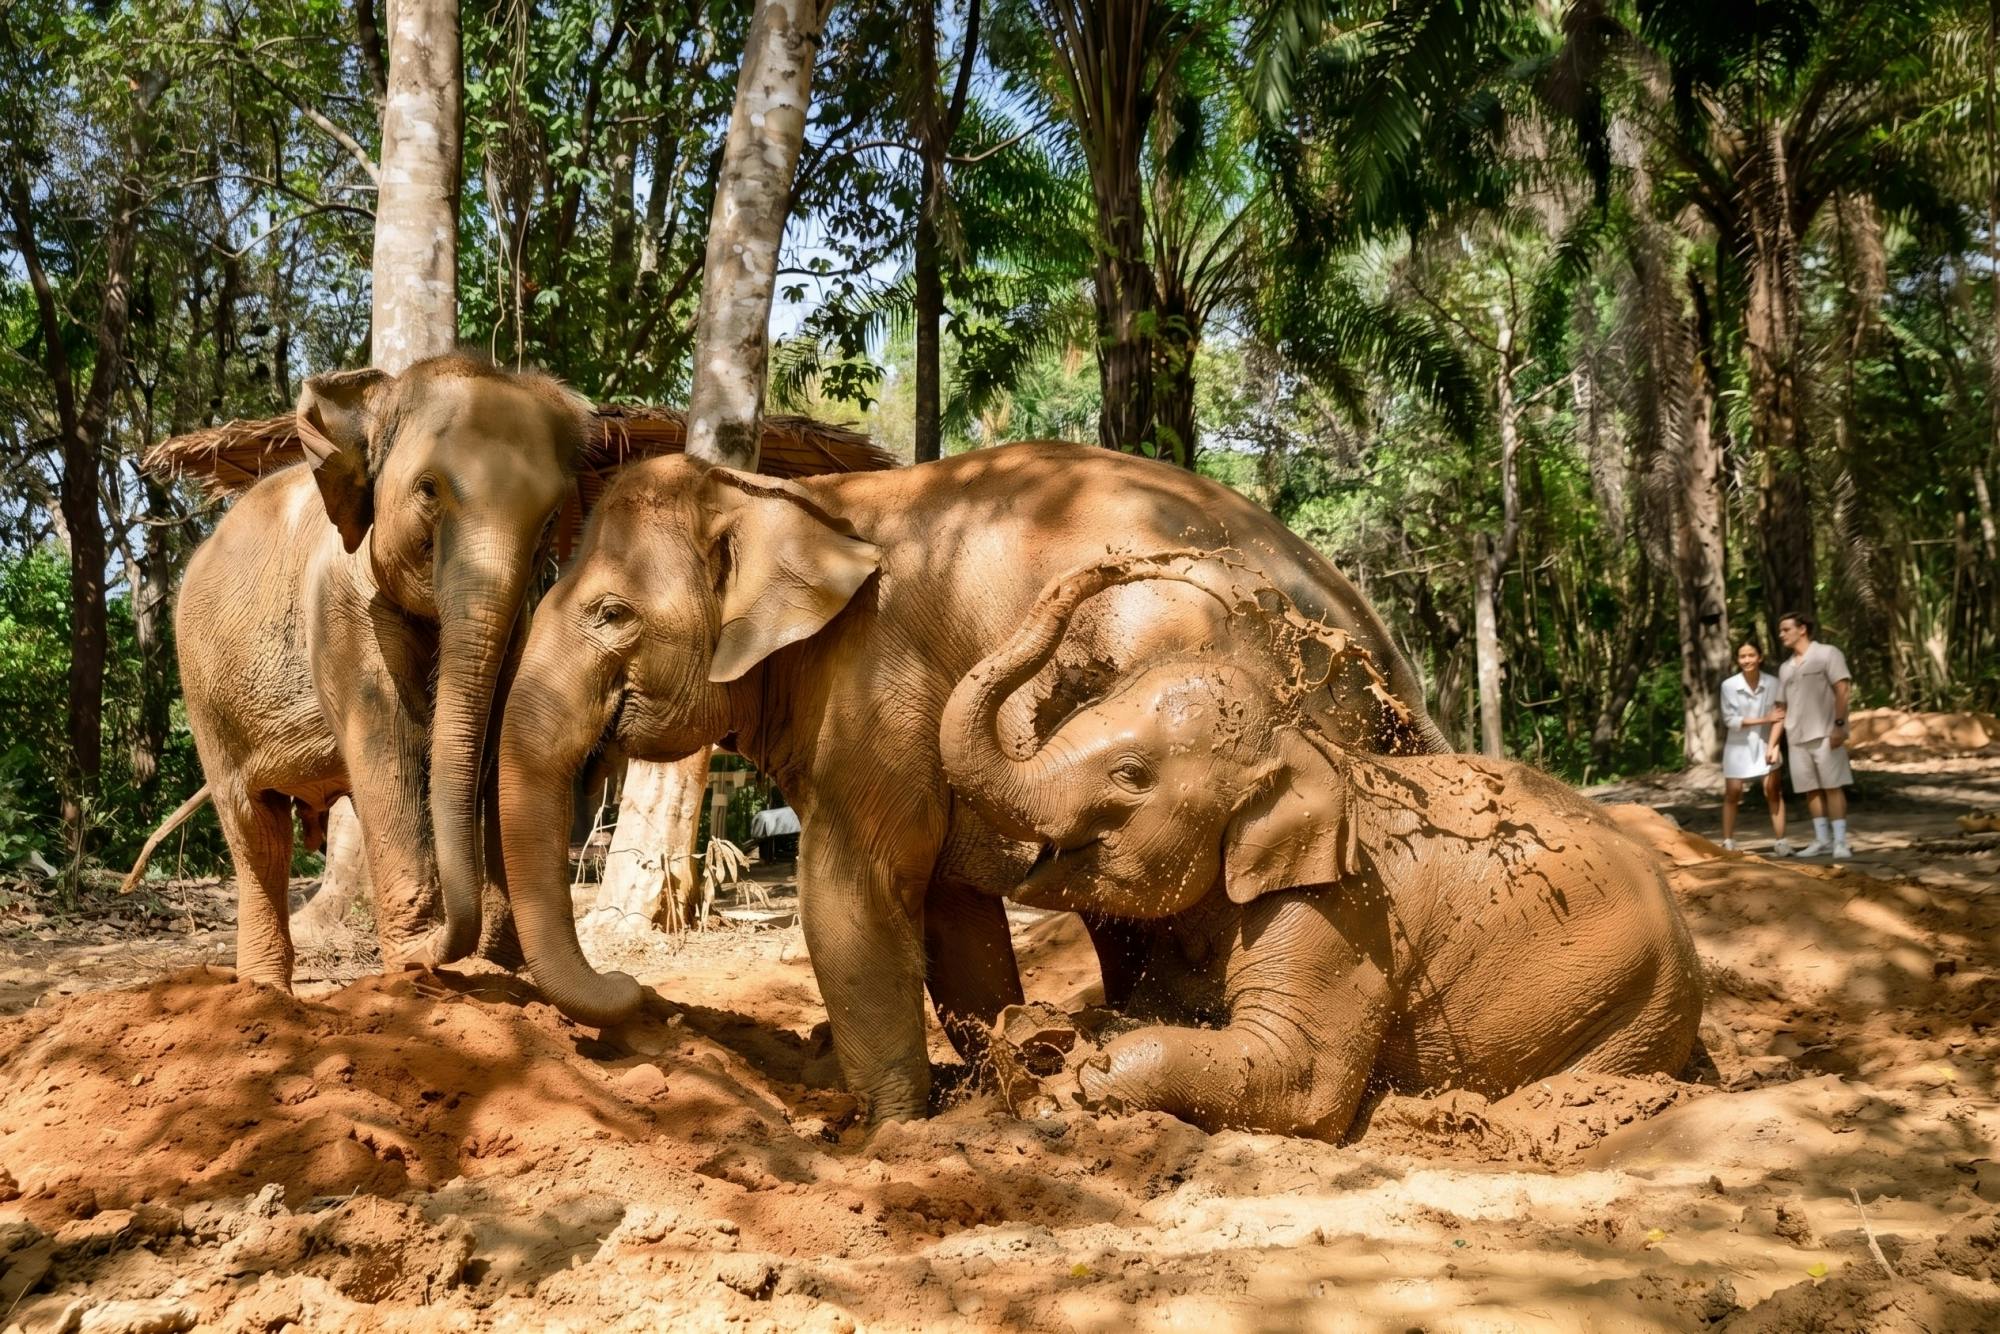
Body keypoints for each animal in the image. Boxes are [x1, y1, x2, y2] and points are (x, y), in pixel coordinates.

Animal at [177, 355, 588, 988]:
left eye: (549, 521)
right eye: (428, 489)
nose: (439, 954)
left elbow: (498, 746)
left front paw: (499, 965)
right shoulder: (341, 606)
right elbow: (390, 746)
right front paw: (417, 959)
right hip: (205, 697)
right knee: (255, 827)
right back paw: (264, 993)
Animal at [494, 443, 1450, 1121]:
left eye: (610, 613)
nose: (642, 997)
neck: (790, 497)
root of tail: (1380, 641)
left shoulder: (879, 685)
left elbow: (857, 892)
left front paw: (889, 1133)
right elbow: (954, 918)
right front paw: (998, 1075)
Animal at [939, 558, 1704, 1138]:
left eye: (1131, 775)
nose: (1112, 564)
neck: (1300, 744)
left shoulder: (1340, 911)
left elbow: (1297, 1078)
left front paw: (1065, 1093)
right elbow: (1156, 1011)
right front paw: (1045, 1043)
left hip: (1635, 1006)